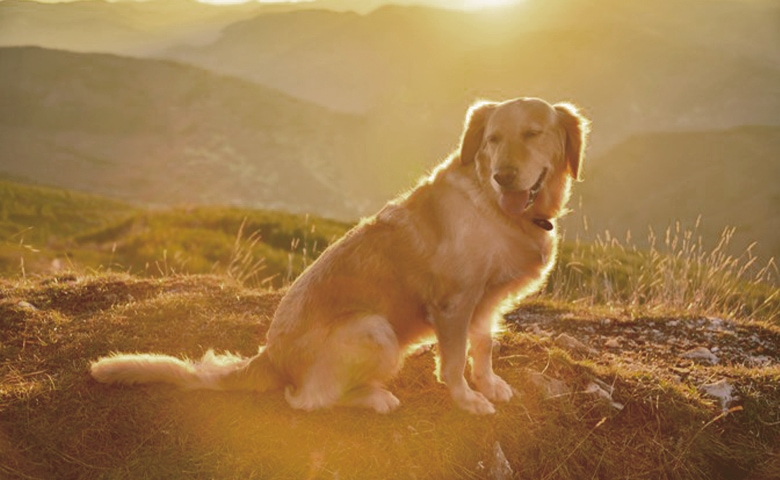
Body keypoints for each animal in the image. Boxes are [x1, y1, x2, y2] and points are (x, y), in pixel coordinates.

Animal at [91, 96, 588, 412]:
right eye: (492, 139)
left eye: (533, 133)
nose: (504, 176)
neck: (493, 205)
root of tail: (269, 356)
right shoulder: (453, 303)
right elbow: (451, 363)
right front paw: (467, 401)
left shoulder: (486, 303)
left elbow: (482, 349)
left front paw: (489, 386)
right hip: (375, 329)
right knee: (307, 402)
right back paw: (375, 398)